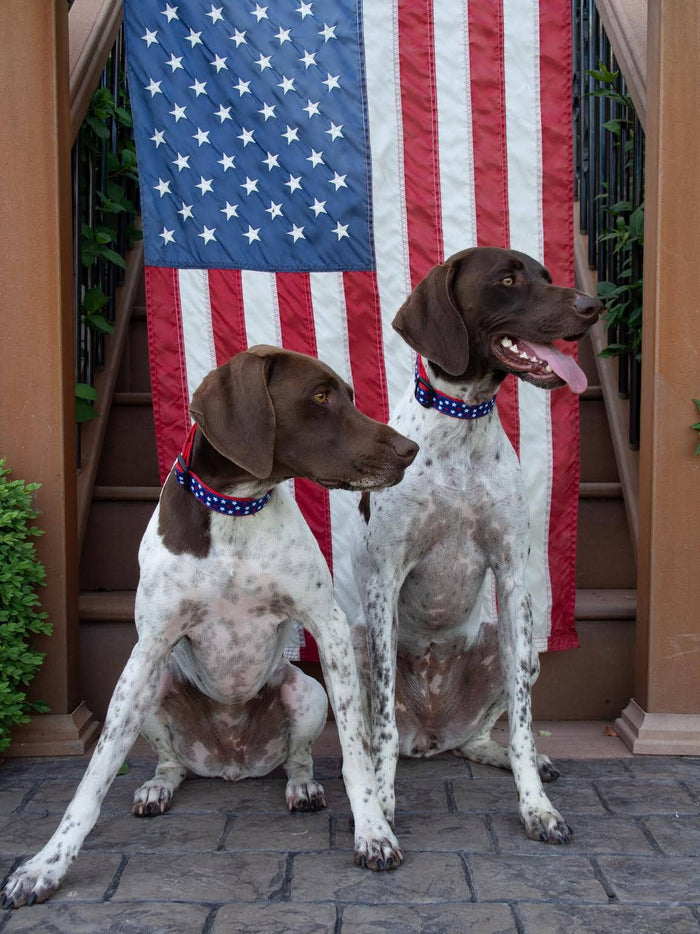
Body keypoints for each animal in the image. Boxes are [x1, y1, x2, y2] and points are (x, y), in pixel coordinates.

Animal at [2, 344, 418, 908]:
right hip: (157, 690)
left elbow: (356, 754)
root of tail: (232, 763)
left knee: (299, 755)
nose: (410, 449)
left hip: (306, 691)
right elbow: (94, 774)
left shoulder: (327, 626)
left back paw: (303, 786)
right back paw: (158, 786)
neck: (236, 509)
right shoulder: (147, 650)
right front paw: (46, 865)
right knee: (171, 761)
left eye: (347, 395)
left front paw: (373, 831)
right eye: (319, 397)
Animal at [350, 249, 600, 848]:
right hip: (356, 643)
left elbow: (525, 729)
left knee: (486, 734)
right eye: (506, 280)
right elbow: (382, 727)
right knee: (380, 731)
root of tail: (432, 733)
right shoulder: (385, 581)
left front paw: (537, 807)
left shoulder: (512, 578)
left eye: (547, 277)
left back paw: (503, 756)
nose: (593, 306)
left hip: (522, 651)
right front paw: (382, 806)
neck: (461, 432)